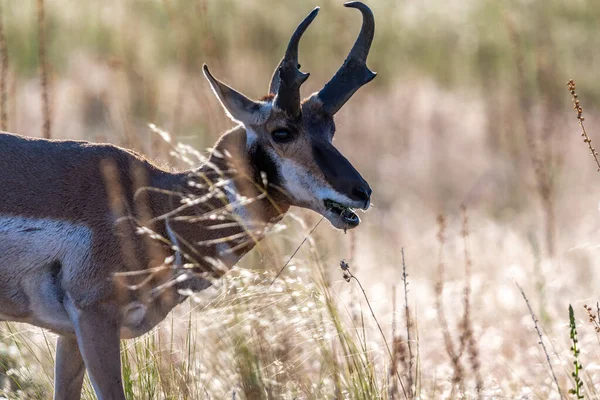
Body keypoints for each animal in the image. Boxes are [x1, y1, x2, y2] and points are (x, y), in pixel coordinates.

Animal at [0, 1, 376, 398]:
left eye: (330, 129)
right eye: (282, 132)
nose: (362, 192)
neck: (159, 207)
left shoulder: (70, 335)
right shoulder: (95, 319)